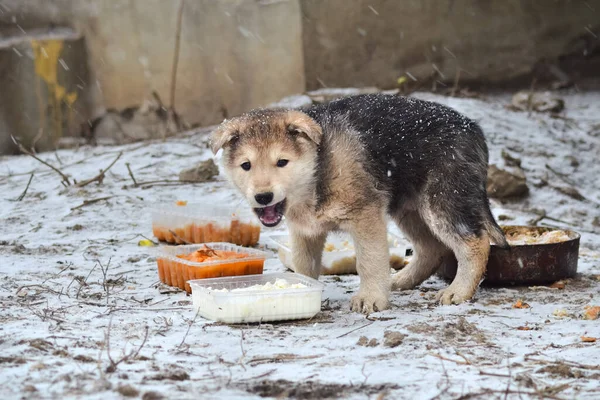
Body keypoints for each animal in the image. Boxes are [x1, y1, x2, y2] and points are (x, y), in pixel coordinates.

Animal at [211, 94, 506, 316]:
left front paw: (371, 298)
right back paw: (401, 279)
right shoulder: (305, 231)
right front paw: (303, 291)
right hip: (409, 209)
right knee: (431, 248)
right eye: (246, 166)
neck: (316, 171)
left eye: (282, 162)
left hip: (442, 202)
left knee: (474, 243)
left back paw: (459, 291)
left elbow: (369, 261)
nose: (263, 197)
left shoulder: (366, 216)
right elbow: (304, 267)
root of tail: (472, 128)